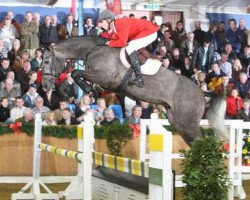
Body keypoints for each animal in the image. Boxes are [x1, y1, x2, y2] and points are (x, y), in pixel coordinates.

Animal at [42, 36, 228, 144]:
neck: (94, 50)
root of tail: (202, 92)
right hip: (178, 122)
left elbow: (75, 72)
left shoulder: (105, 77)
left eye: (46, 61)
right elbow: (78, 75)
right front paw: (91, 91)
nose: (45, 86)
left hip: (188, 123)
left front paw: (88, 89)